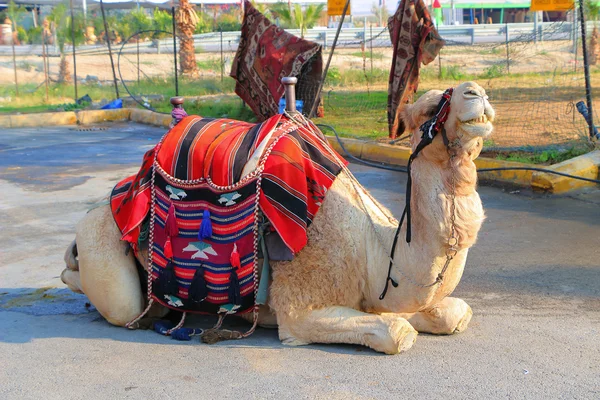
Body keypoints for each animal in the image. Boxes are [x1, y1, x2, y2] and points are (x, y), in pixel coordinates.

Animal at [61, 81, 494, 354]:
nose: (477, 92)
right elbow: (396, 333)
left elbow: (454, 311)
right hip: (103, 242)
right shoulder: (301, 307)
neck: (374, 251)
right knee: (118, 302)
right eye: (428, 111)